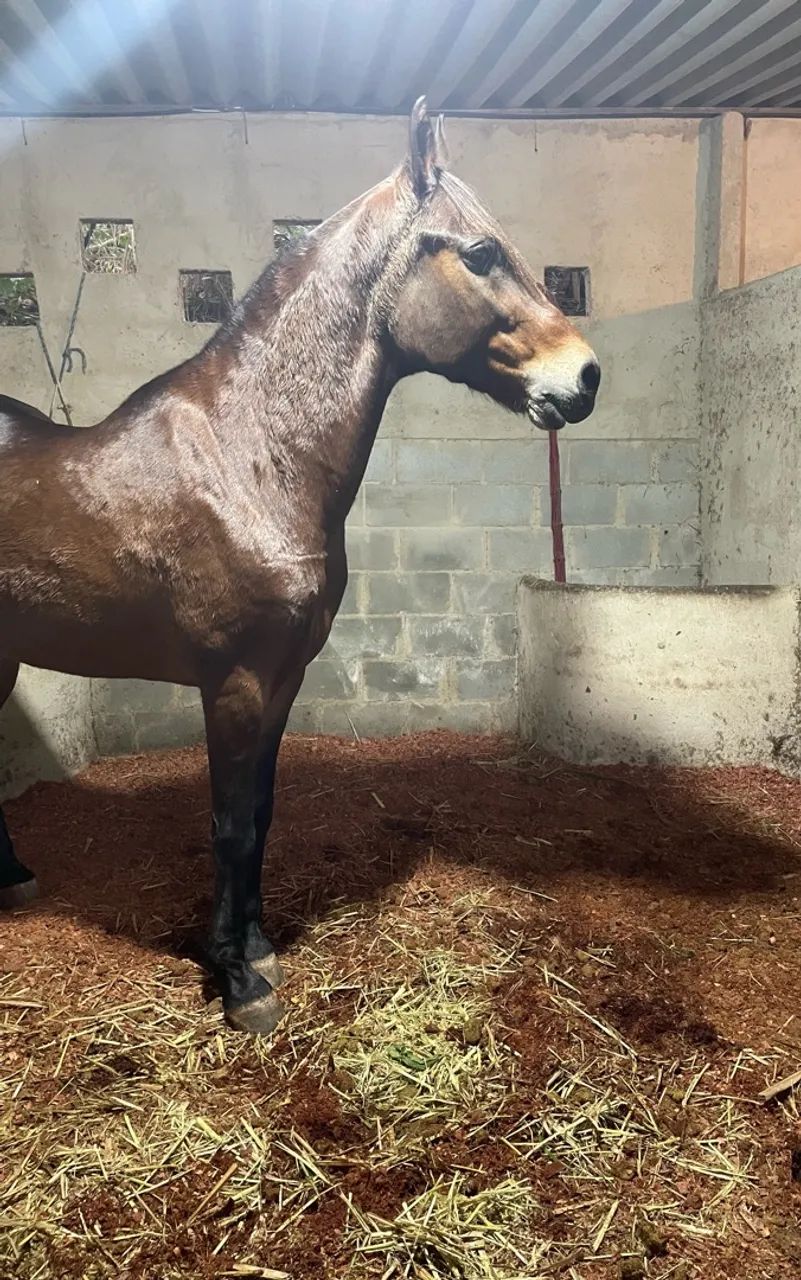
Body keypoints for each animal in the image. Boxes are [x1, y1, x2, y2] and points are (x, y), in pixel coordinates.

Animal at [0, 100, 599, 1035]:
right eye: (479, 253)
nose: (584, 378)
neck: (250, 456)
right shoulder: (235, 681)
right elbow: (229, 822)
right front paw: (237, 983)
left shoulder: (282, 678)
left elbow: (262, 814)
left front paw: (253, 948)